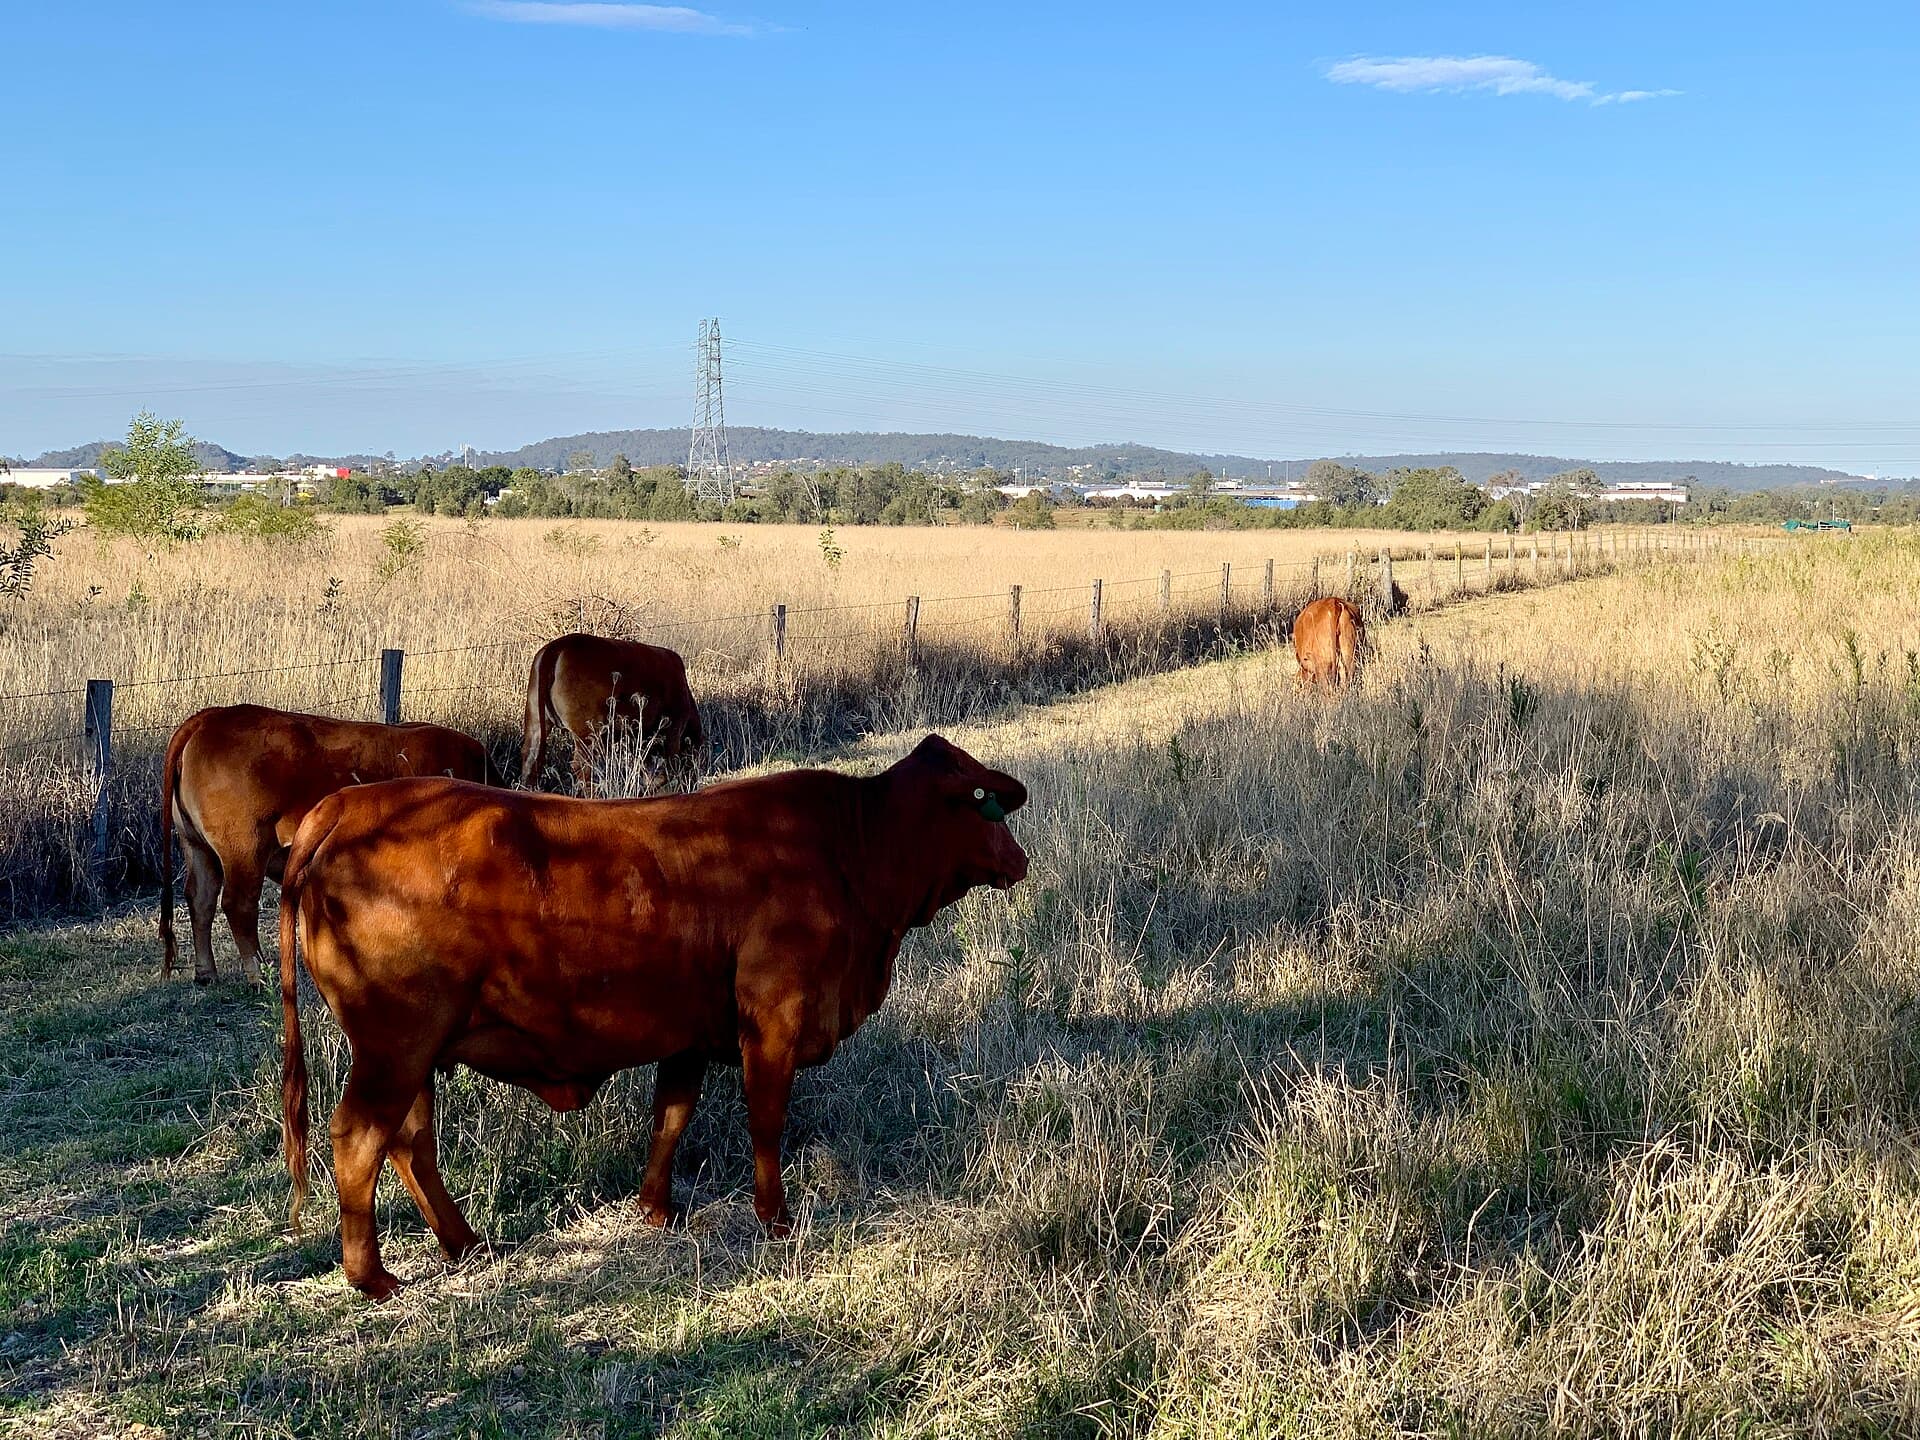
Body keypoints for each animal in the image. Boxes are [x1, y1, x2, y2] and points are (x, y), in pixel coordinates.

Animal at [158, 705, 492, 985]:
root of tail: (210, 716)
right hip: (244, 846)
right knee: (238, 903)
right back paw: (260, 973)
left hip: (196, 846)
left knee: (201, 898)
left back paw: (206, 974)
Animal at [278, 733, 1029, 1299]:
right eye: (984, 804)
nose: (1021, 860)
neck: (850, 849)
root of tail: (343, 805)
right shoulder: (774, 1019)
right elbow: (766, 1120)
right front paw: (775, 1218)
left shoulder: (691, 1033)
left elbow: (671, 1116)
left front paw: (656, 1210)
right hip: (394, 1043)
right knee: (360, 1137)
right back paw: (372, 1277)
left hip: (415, 1053)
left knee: (410, 1143)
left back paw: (463, 1243)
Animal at [518, 633, 704, 795]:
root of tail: (558, 646)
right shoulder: (673, 731)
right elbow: (667, 769)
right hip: (589, 734)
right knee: (582, 768)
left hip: (536, 724)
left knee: (530, 760)